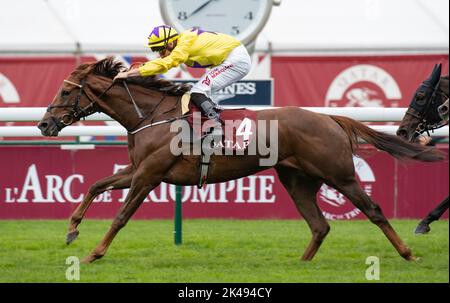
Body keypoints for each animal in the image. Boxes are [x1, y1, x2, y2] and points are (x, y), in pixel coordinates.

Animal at [37, 58, 442, 264]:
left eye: (66, 91)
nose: (44, 124)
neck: (151, 115)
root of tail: (329, 118)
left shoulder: (149, 175)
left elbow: (121, 216)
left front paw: (94, 253)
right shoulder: (137, 170)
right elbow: (95, 185)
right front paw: (72, 230)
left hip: (340, 175)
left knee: (373, 210)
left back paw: (408, 253)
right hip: (297, 179)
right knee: (319, 225)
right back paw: (301, 265)